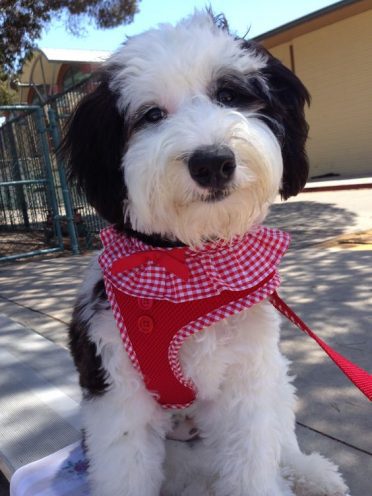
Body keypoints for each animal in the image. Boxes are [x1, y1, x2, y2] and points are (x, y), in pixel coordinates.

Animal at [62, 10, 350, 496]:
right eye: (151, 115)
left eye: (229, 95)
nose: (213, 162)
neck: (188, 265)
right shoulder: (116, 394)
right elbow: (124, 468)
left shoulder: (247, 386)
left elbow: (254, 464)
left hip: (274, 380)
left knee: (281, 440)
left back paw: (311, 472)